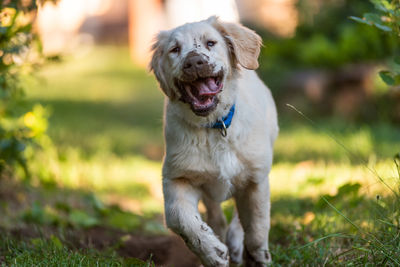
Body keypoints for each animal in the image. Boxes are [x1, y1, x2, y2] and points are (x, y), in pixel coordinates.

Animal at [150, 17, 278, 267]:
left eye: (211, 43)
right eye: (175, 49)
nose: (194, 62)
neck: (214, 127)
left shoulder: (256, 178)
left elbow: (257, 227)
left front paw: (258, 257)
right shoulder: (177, 176)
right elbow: (180, 218)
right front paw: (212, 252)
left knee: (239, 218)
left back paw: (237, 244)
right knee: (215, 216)